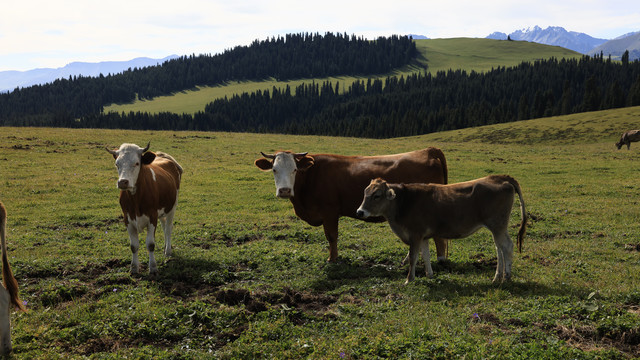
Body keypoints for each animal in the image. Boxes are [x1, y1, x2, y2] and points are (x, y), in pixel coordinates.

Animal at [106, 142, 182, 274]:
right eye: (117, 164)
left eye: (137, 163)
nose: (122, 182)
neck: (135, 199)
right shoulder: (127, 219)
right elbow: (134, 246)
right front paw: (134, 268)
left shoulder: (152, 217)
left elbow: (150, 244)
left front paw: (153, 268)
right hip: (161, 212)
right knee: (164, 226)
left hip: (172, 207)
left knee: (168, 228)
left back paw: (168, 251)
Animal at [252, 148, 448, 262]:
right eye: (274, 169)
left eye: (294, 169)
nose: (284, 190)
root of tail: (428, 150)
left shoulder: (330, 212)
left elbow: (331, 236)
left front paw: (332, 259)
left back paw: (439, 260)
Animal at [356, 174, 524, 284]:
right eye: (365, 193)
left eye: (377, 195)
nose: (360, 211)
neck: (404, 202)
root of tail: (499, 178)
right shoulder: (423, 236)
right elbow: (425, 256)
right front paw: (429, 275)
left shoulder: (415, 235)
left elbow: (413, 257)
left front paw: (409, 279)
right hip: (498, 228)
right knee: (499, 248)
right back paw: (497, 277)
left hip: (498, 225)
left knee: (507, 247)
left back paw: (506, 277)